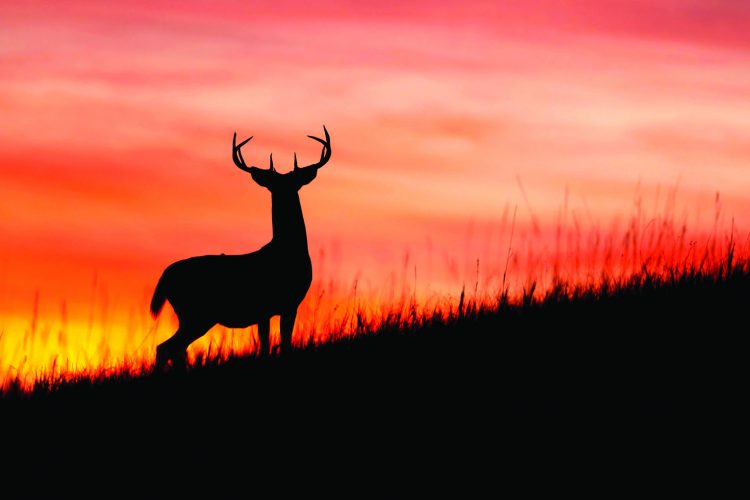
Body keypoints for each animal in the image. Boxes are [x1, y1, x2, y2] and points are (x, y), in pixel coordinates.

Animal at [149, 126, 331, 370]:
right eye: (274, 185)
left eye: (293, 183)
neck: (287, 251)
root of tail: (165, 275)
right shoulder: (270, 305)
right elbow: (270, 346)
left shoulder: (285, 305)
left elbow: (280, 344)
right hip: (197, 312)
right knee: (168, 347)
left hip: (192, 315)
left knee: (171, 347)